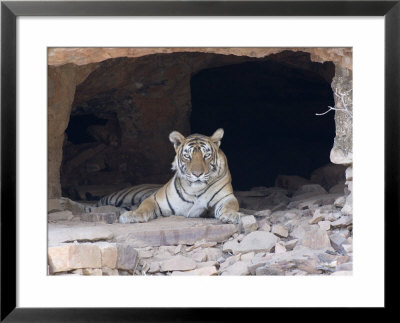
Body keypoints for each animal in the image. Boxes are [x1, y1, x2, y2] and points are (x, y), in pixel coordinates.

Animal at [97, 128, 242, 224]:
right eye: (187, 156)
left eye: (206, 155)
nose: (197, 174)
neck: (195, 190)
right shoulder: (155, 199)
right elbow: (144, 206)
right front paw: (133, 215)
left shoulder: (226, 197)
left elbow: (230, 205)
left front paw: (231, 215)